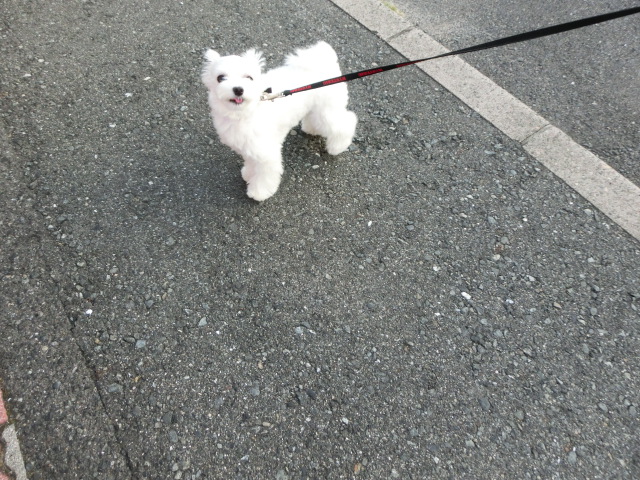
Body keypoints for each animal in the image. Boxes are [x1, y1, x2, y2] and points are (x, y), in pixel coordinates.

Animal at [201, 42, 357, 201]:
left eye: (249, 78)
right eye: (220, 78)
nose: (238, 89)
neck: (245, 113)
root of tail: (323, 62)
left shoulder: (267, 153)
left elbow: (264, 175)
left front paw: (258, 192)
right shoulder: (249, 147)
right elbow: (251, 163)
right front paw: (248, 174)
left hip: (326, 110)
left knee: (346, 121)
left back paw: (338, 146)